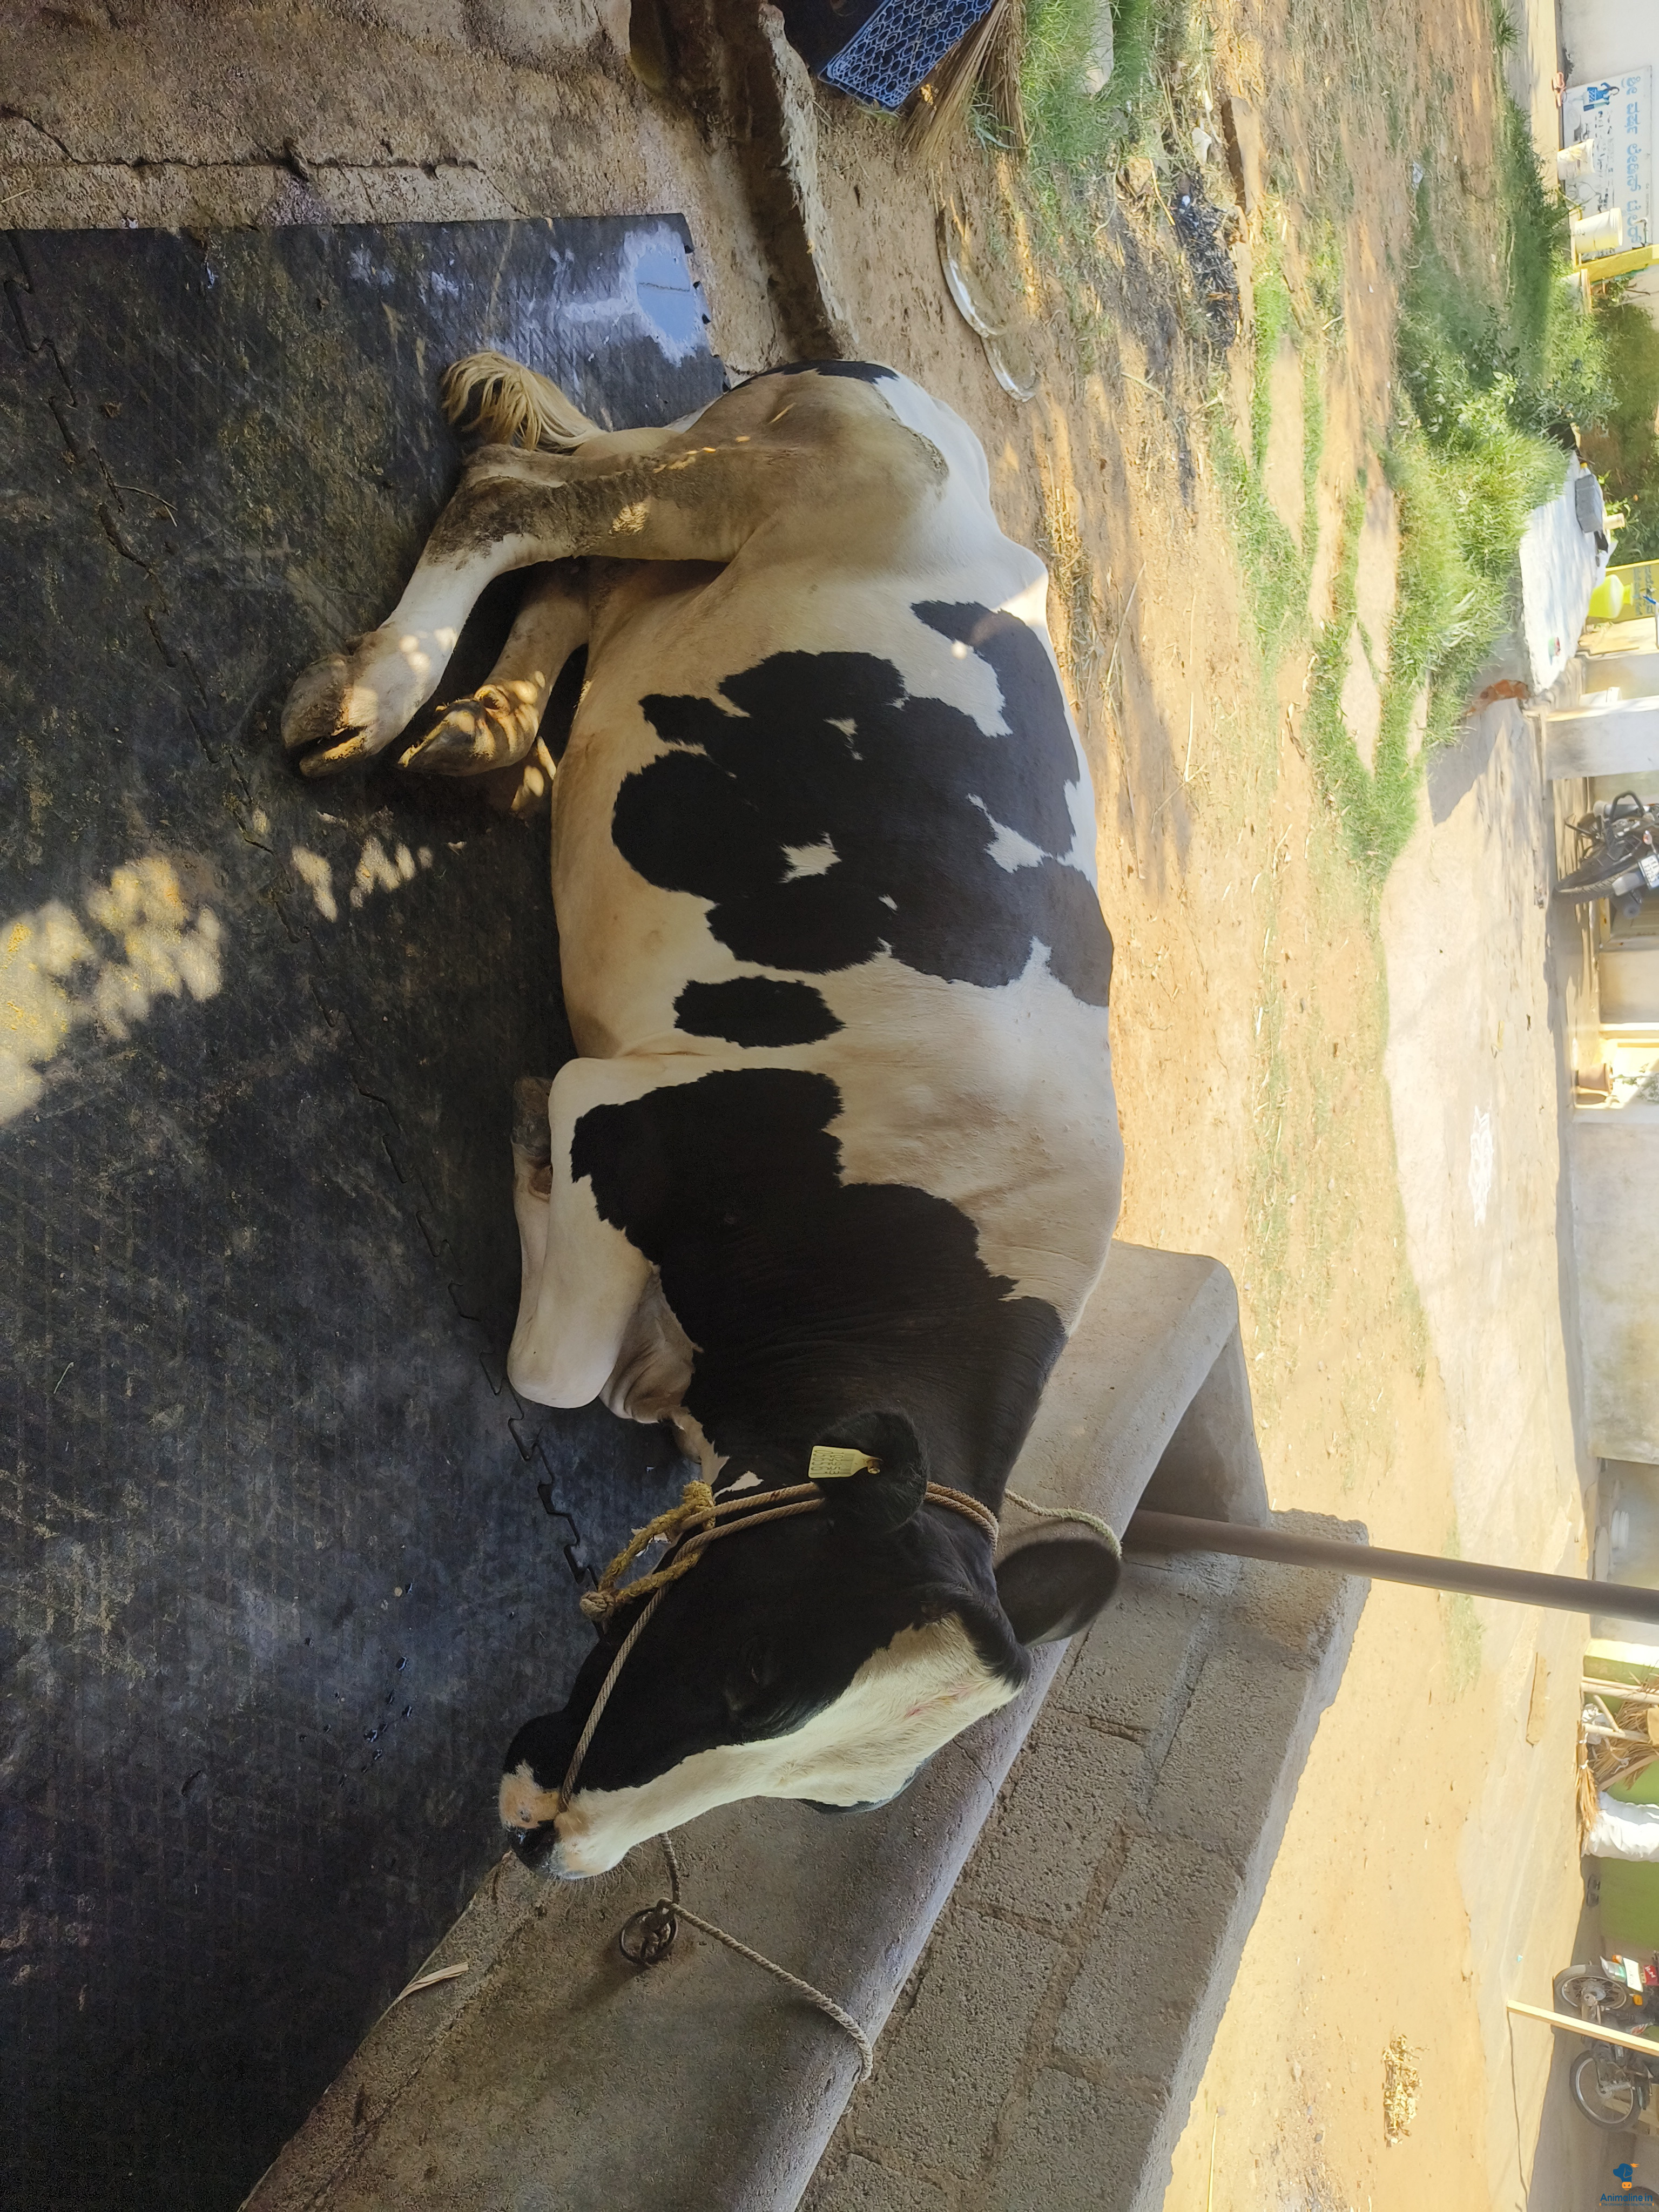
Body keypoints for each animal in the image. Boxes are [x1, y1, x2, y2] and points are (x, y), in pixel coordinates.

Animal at [282, 356, 1124, 1880]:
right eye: (755, 1676)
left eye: (835, 1802)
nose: (548, 1843)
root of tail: (887, 387)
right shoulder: (623, 1109)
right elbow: (553, 1367)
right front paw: (519, 1148)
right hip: (759, 486)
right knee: (526, 496)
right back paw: (377, 692)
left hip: (698, 547)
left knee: (586, 571)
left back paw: (486, 739)